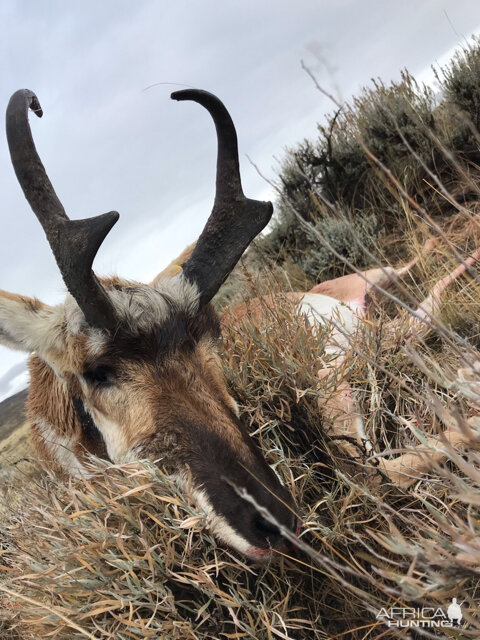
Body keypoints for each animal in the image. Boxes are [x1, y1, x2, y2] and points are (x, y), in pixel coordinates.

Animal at [0, 90, 472, 560]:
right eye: (96, 372)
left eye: (209, 332)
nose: (272, 519)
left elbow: (374, 469)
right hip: (379, 316)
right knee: (418, 315)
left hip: (376, 290)